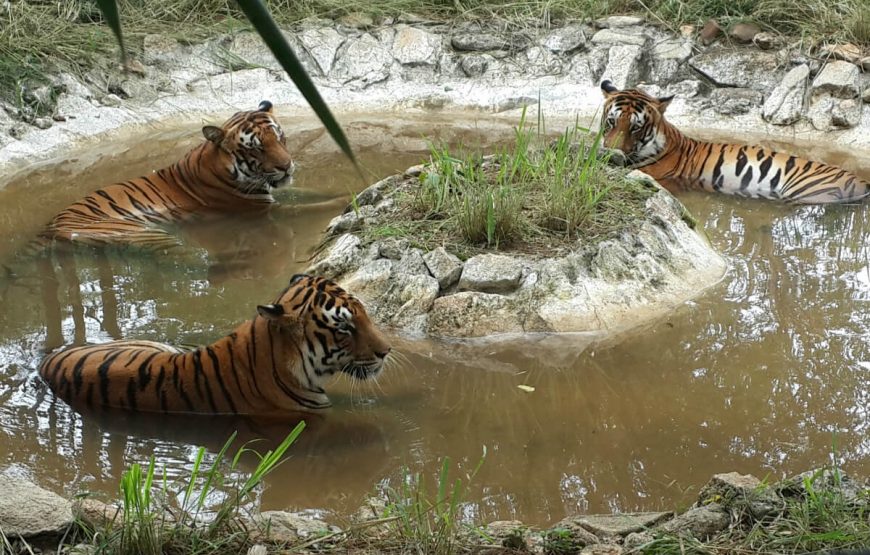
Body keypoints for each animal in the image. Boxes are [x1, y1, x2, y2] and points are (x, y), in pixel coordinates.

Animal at [40, 100, 296, 250]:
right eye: (256, 148)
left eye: (279, 137)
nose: (287, 166)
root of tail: (48, 230)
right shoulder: (259, 208)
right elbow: (305, 207)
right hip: (142, 234)